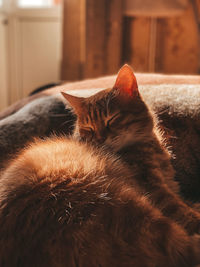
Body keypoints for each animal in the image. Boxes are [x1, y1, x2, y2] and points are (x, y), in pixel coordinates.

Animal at [0, 65, 200, 267]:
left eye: (111, 119)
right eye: (88, 128)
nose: (100, 138)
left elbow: (187, 203)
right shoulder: (158, 192)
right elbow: (185, 212)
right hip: (131, 211)